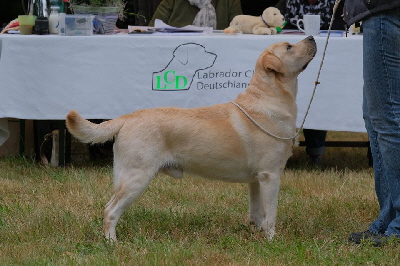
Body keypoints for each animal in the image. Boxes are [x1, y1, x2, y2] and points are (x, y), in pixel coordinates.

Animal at [65, 36, 316, 242]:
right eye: (289, 46)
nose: (312, 37)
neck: (268, 99)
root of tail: (127, 117)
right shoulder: (270, 175)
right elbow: (271, 214)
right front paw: (272, 240)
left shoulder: (256, 180)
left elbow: (257, 213)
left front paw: (256, 234)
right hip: (137, 176)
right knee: (111, 211)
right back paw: (112, 243)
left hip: (125, 176)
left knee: (107, 206)